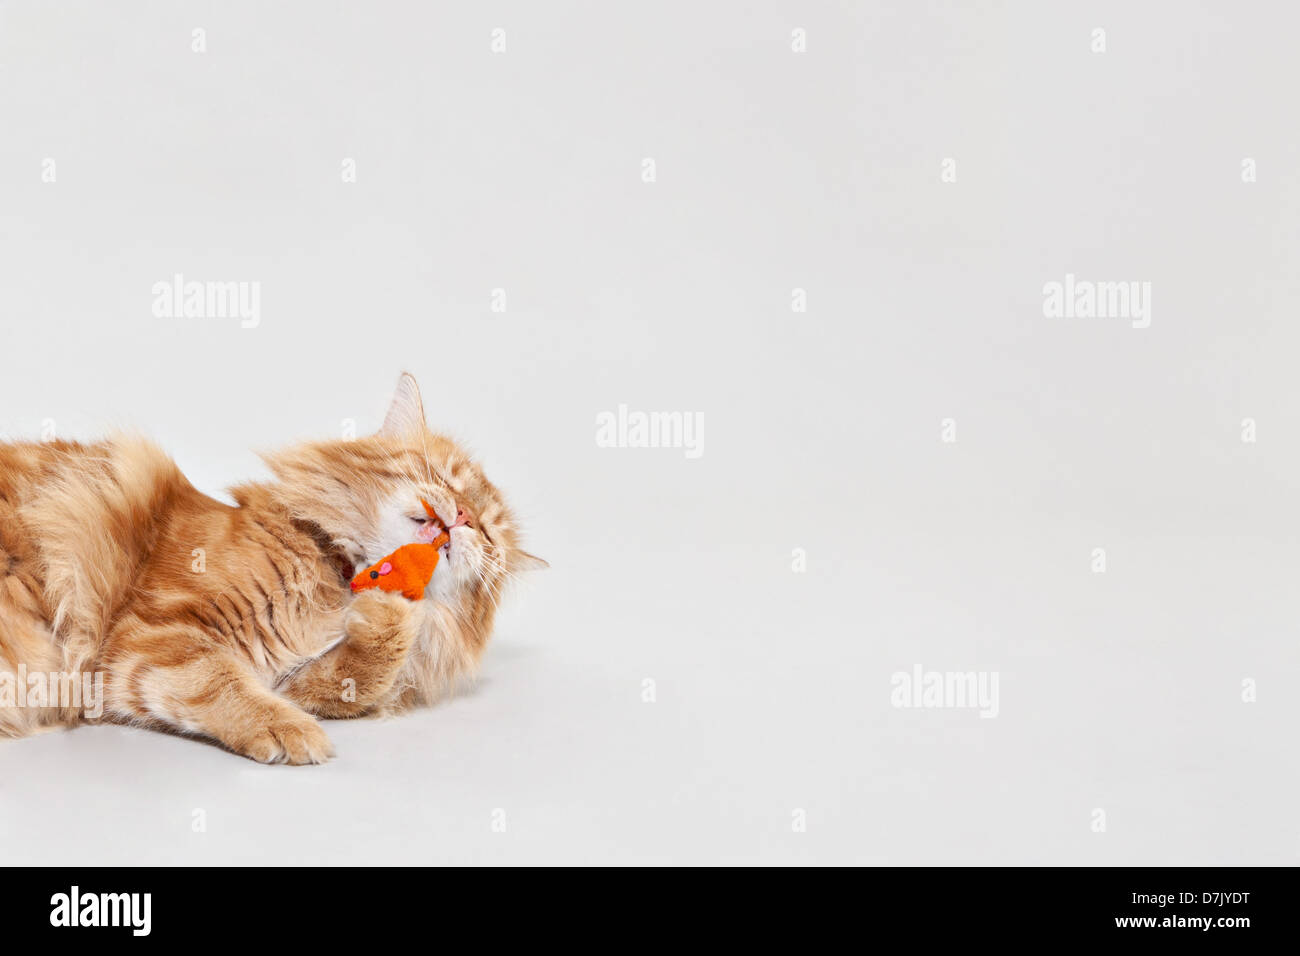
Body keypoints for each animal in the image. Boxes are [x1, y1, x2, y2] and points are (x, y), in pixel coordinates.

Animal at [0, 374, 543, 764]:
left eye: (489, 533)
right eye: (446, 478)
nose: (465, 517)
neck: (339, 576)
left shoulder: (295, 679)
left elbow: (356, 679)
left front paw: (392, 615)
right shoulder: (150, 637)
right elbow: (219, 679)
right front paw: (290, 731)